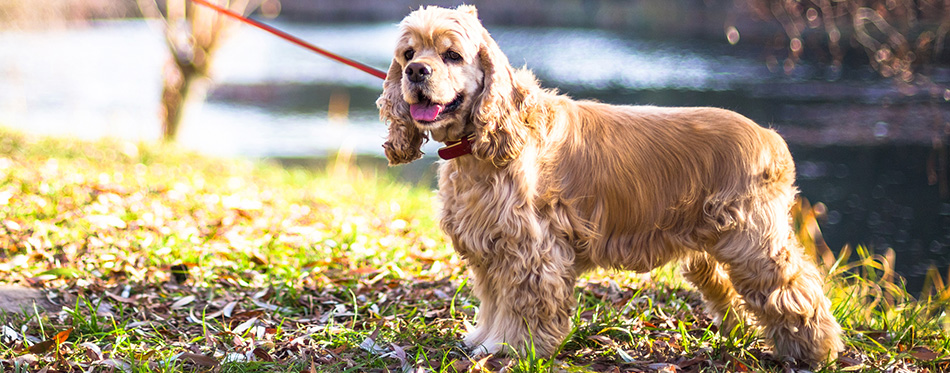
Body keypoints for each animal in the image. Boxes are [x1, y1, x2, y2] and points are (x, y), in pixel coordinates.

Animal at [376, 3, 844, 364]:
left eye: (452, 55)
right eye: (408, 52)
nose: (415, 71)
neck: (480, 146)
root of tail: (771, 139)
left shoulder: (531, 250)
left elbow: (524, 307)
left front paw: (514, 348)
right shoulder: (489, 247)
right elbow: (493, 301)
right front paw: (485, 340)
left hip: (753, 243)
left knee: (796, 292)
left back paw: (815, 352)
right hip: (712, 250)